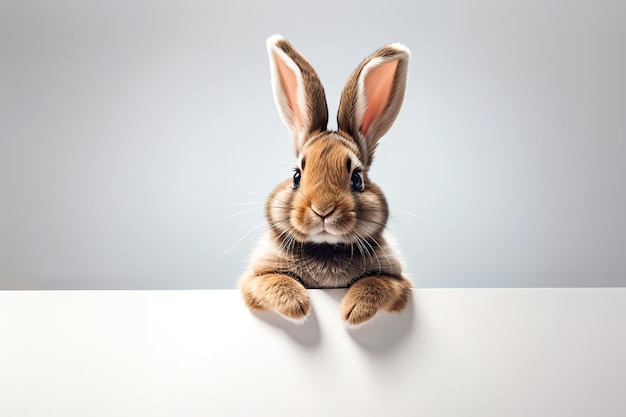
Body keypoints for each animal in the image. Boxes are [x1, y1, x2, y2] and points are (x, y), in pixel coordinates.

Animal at [238, 35, 410, 324]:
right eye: (296, 176)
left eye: (357, 179)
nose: (323, 210)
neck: (326, 247)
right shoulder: (253, 280)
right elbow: (274, 281)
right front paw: (296, 306)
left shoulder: (399, 282)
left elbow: (376, 283)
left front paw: (354, 310)